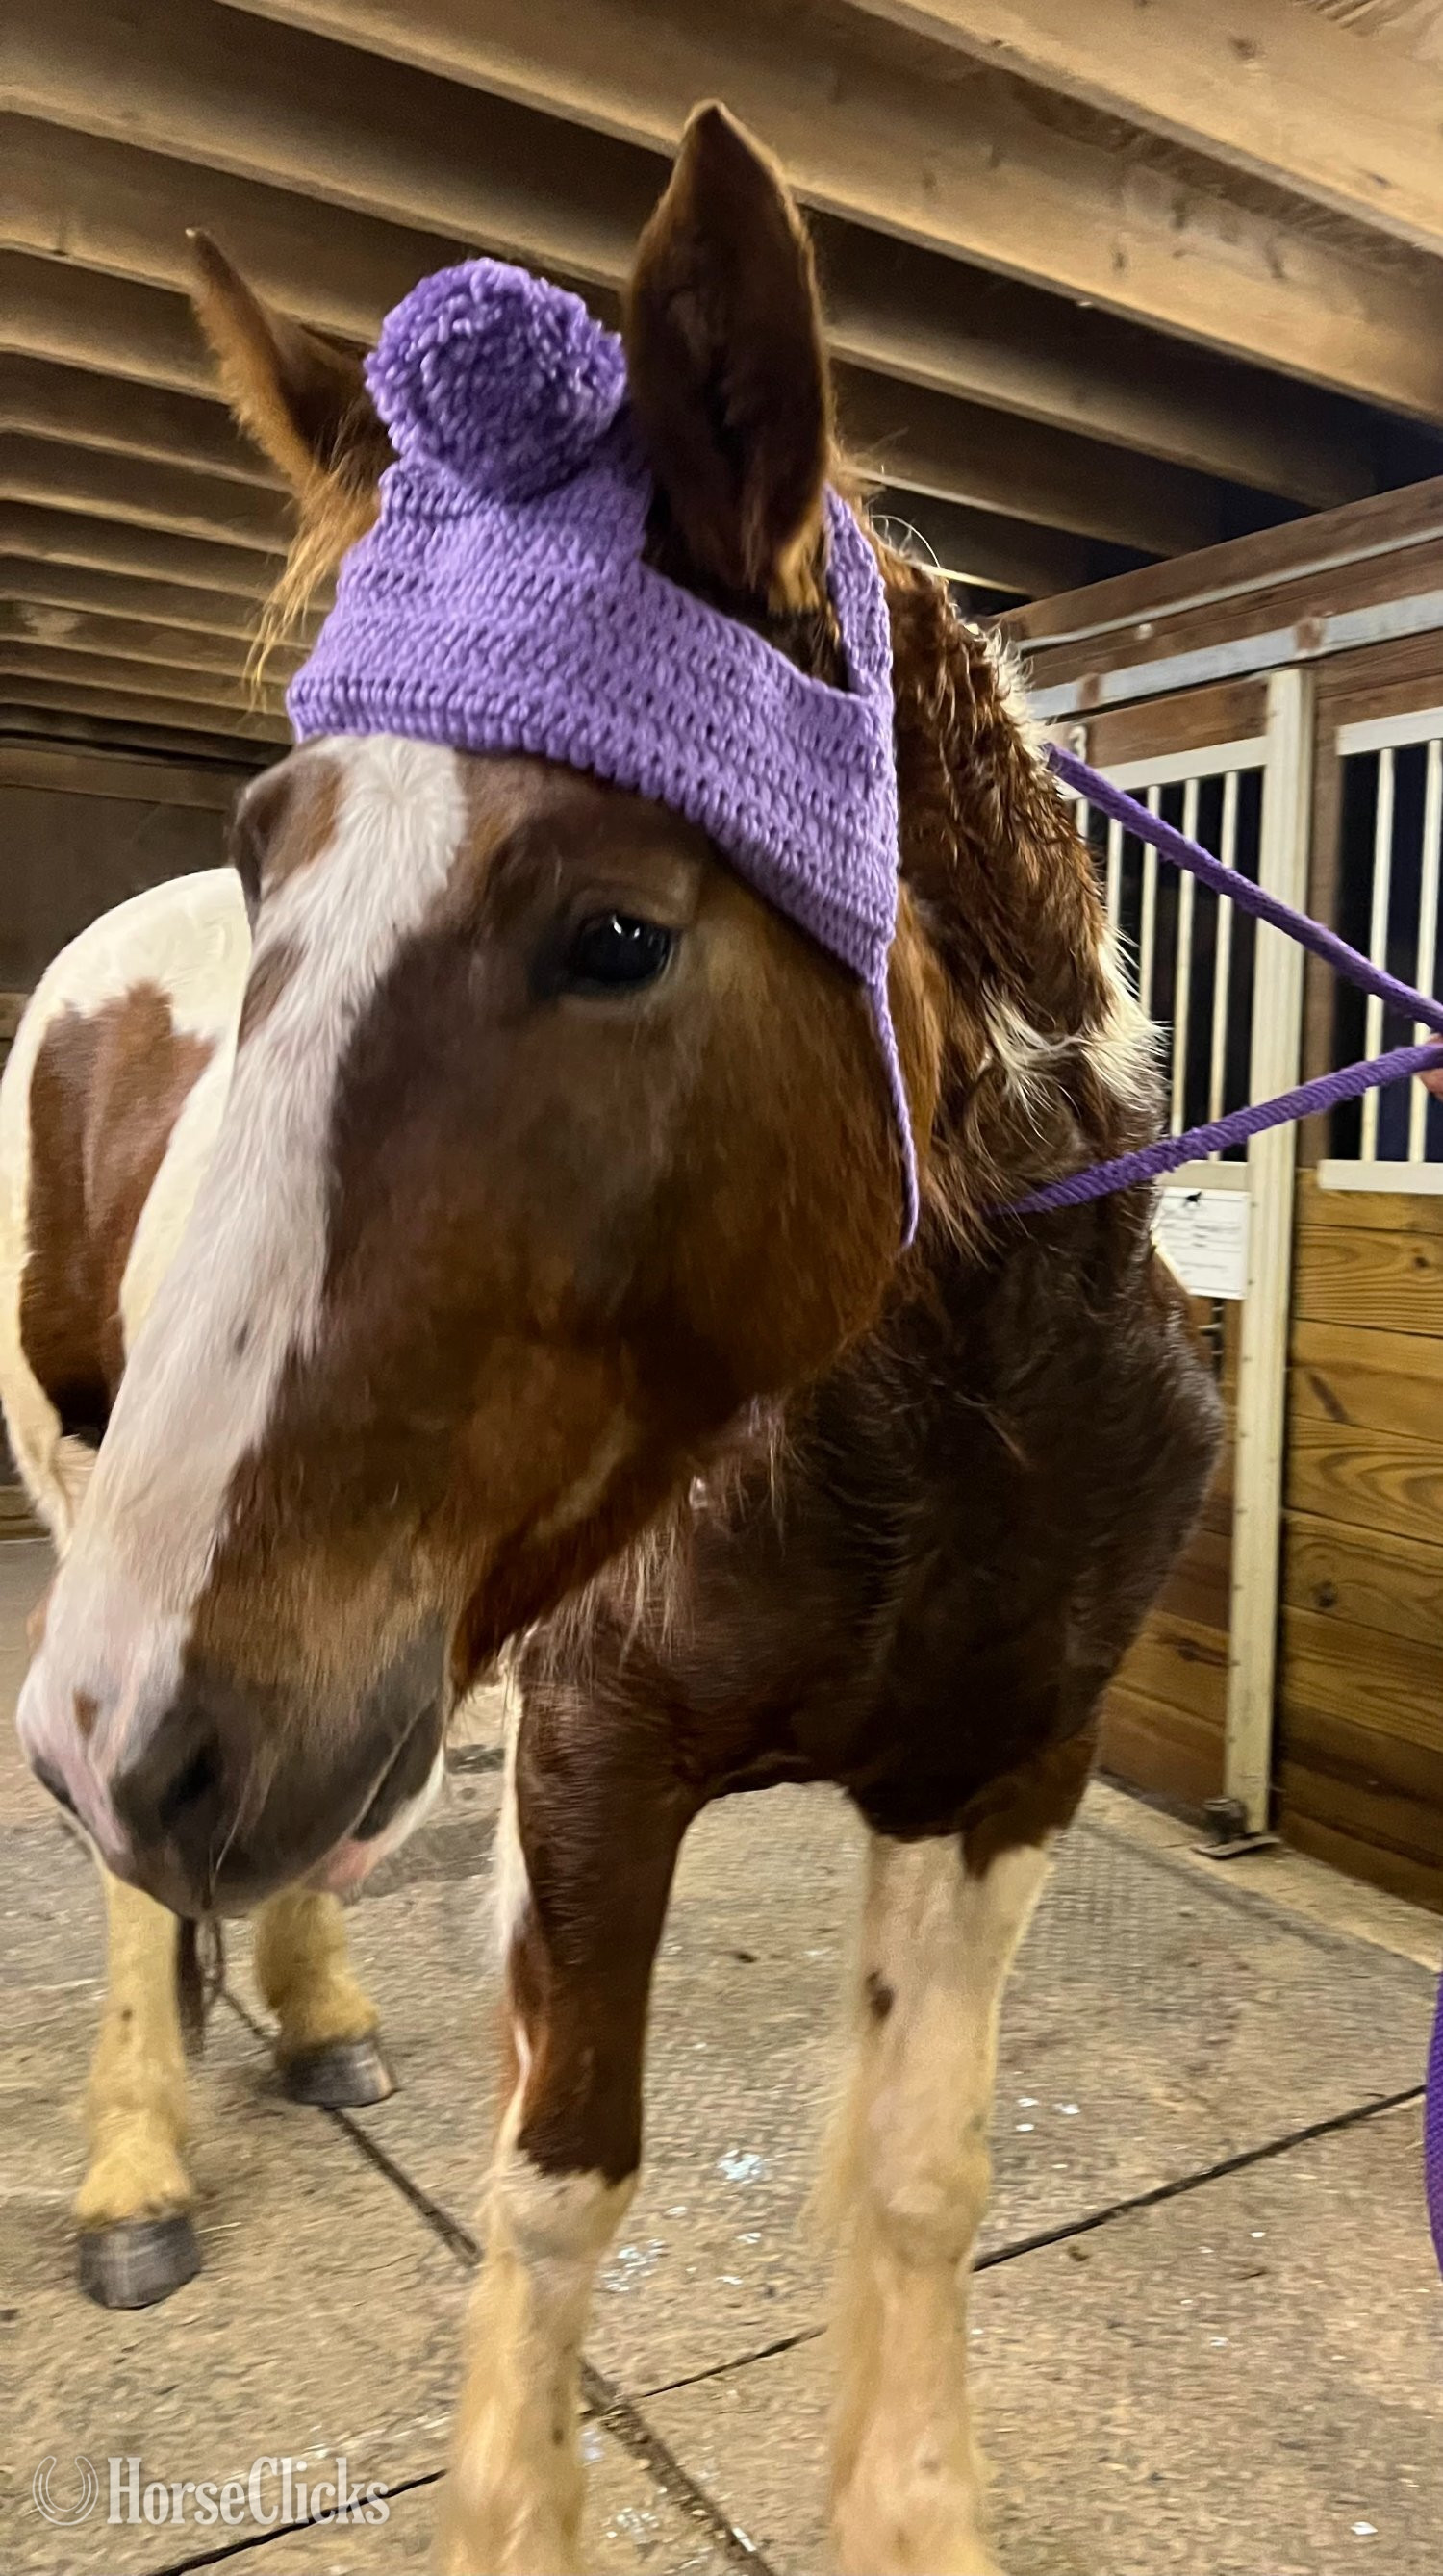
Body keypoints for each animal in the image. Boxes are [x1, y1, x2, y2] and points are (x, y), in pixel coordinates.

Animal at [12, 101, 1220, 2576]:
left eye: (617, 934)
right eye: (269, 859)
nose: (150, 1724)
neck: (941, 1408)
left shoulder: (1005, 1769)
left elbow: (920, 2178)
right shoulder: (588, 1766)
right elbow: (553, 2203)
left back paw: (313, 2012)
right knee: (120, 1892)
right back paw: (135, 2162)